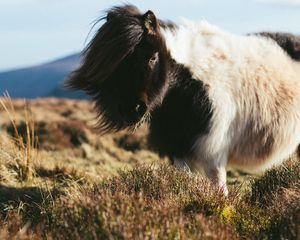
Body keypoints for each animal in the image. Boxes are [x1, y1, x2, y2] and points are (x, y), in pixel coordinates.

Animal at [67, 4, 300, 194]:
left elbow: (219, 193)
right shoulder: (177, 149)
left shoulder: (213, 153)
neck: (190, 83)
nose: (132, 110)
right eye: (116, 64)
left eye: (152, 58)